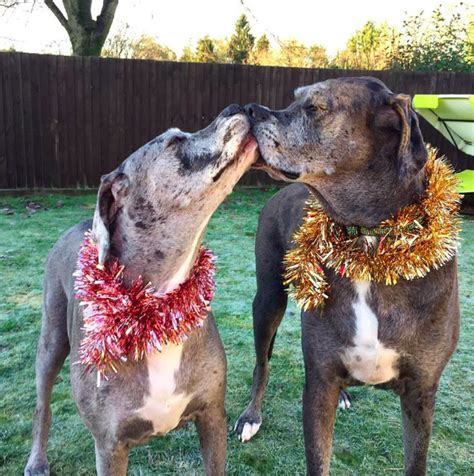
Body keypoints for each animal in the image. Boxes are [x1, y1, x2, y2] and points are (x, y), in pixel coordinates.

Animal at [25, 105, 260, 476]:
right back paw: (37, 460)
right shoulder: (110, 447)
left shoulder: (212, 416)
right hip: (50, 342)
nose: (238, 107)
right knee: (41, 404)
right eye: (175, 142)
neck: (156, 308)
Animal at [236, 76, 460, 474]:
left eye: (315, 107)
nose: (249, 109)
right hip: (267, 300)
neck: (368, 245)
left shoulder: (421, 392)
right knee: (262, 363)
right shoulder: (319, 383)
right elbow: (318, 460)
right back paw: (250, 417)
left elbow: (415, 462)